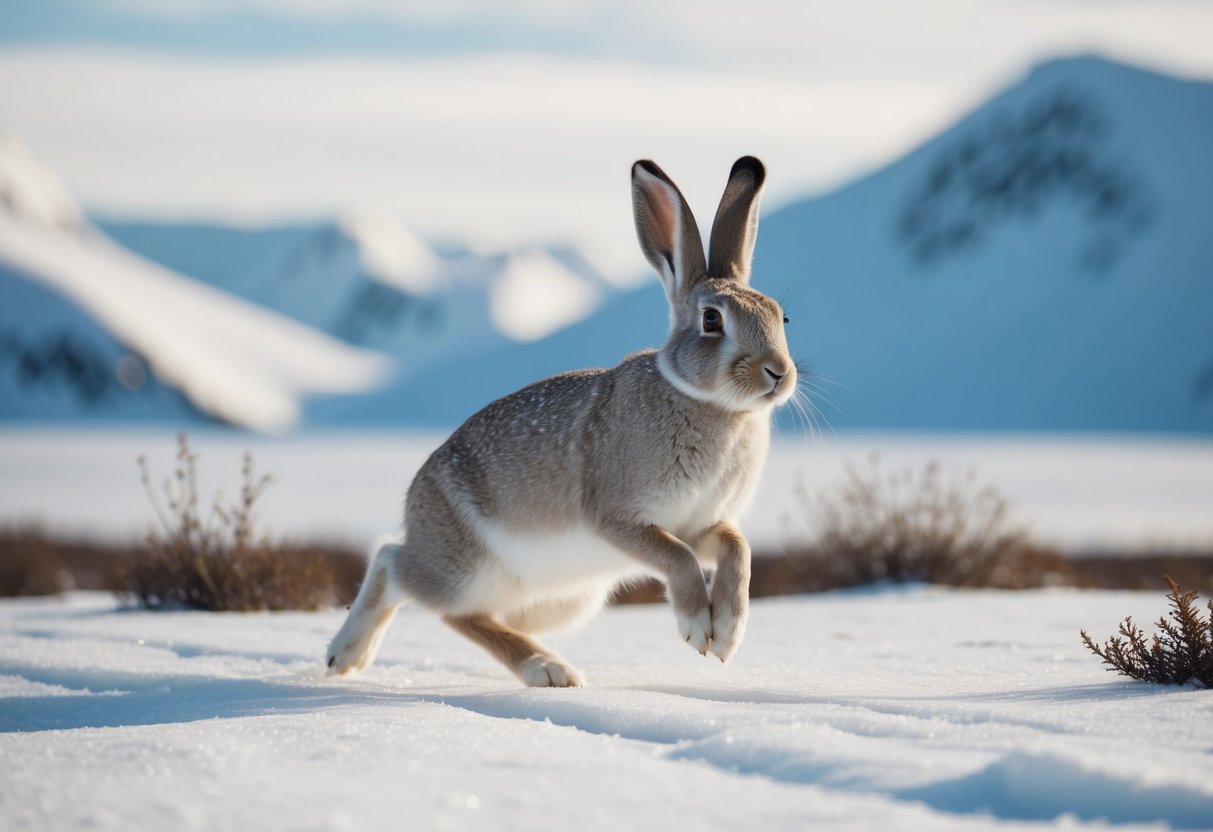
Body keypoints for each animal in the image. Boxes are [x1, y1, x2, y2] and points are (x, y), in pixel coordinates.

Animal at [326, 156, 796, 687]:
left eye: (781, 317)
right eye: (712, 320)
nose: (778, 373)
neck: (714, 405)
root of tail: (414, 502)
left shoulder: (703, 523)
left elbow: (737, 549)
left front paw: (729, 633)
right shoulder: (621, 518)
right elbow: (677, 558)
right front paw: (698, 628)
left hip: (556, 600)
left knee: (468, 614)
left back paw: (546, 668)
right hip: (464, 568)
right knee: (397, 568)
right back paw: (350, 655)